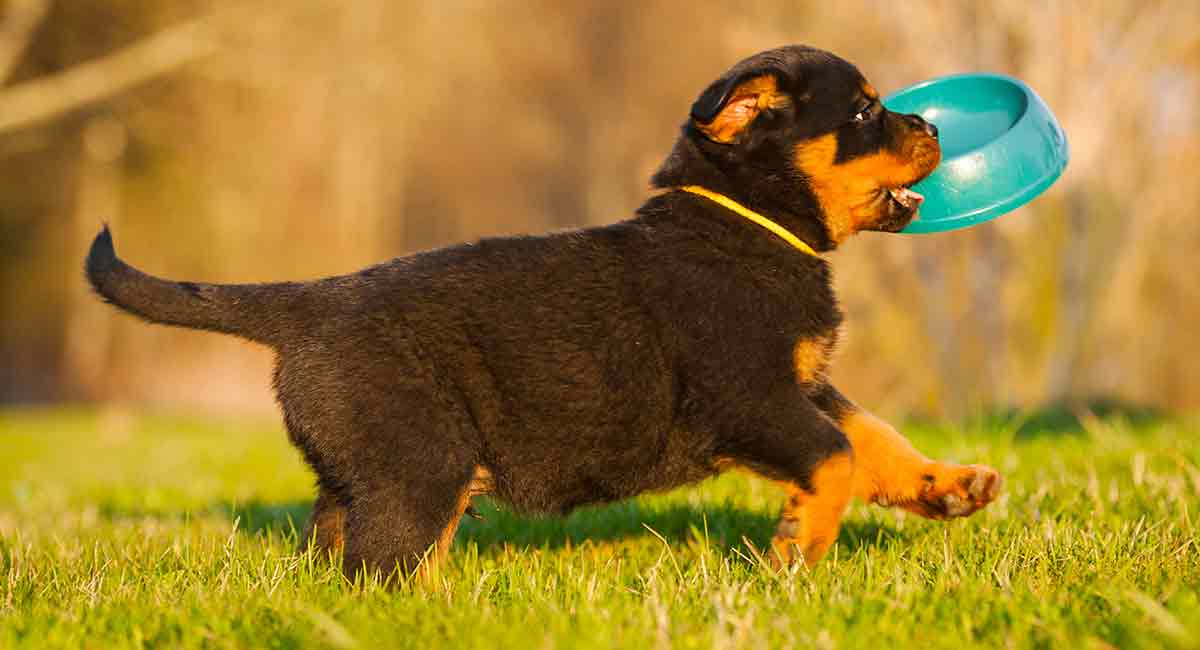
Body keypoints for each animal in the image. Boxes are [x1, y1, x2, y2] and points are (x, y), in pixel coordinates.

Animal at [87, 43, 1003, 578]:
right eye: (865, 111)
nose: (930, 124)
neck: (747, 223)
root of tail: (313, 302)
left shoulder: (801, 383)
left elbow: (872, 434)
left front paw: (947, 485)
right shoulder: (748, 394)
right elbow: (835, 456)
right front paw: (798, 548)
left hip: (371, 468)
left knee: (338, 549)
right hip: (422, 461)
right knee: (384, 566)